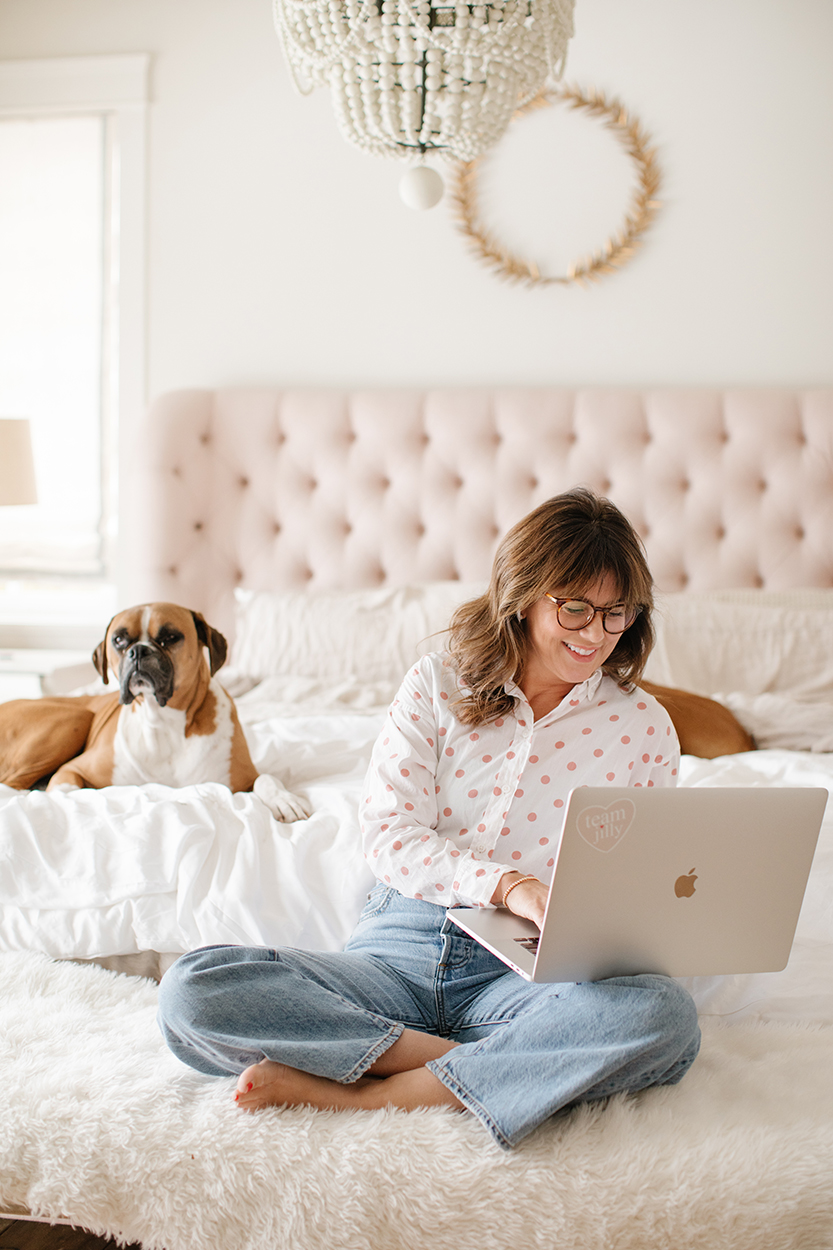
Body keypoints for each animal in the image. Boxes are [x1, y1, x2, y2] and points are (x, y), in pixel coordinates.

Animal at [0, 602, 310, 820]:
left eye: (170, 637)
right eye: (119, 640)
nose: (138, 651)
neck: (163, 720)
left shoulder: (243, 777)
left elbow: (267, 779)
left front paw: (285, 800)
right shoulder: (73, 769)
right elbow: (66, 790)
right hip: (72, 719)